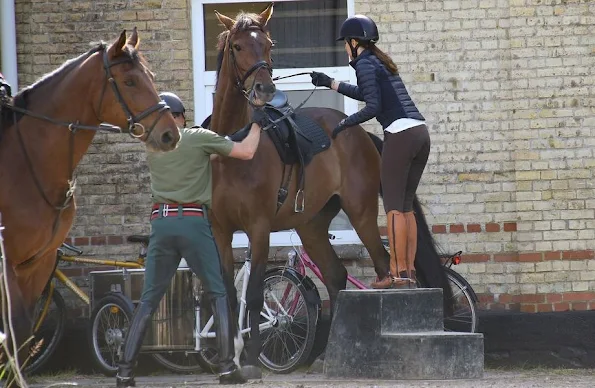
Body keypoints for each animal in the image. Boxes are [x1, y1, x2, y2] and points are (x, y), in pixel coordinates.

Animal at [0, 28, 182, 370]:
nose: (170, 134)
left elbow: (21, 333)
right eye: (129, 81)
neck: (25, 161)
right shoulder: (9, 259)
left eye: (150, 76)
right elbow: (14, 329)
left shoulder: (38, 262)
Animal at [210, 2, 452, 372]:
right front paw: (229, 360)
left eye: (268, 45)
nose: (265, 91)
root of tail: (357, 132)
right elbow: (228, 293)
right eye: (237, 46)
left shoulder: (259, 229)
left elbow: (252, 295)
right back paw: (329, 353)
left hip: (361, 213)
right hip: (311, 226)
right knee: (336, 275)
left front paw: (250, 359)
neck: (234, 150)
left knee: (384, 262)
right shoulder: (221, 232)